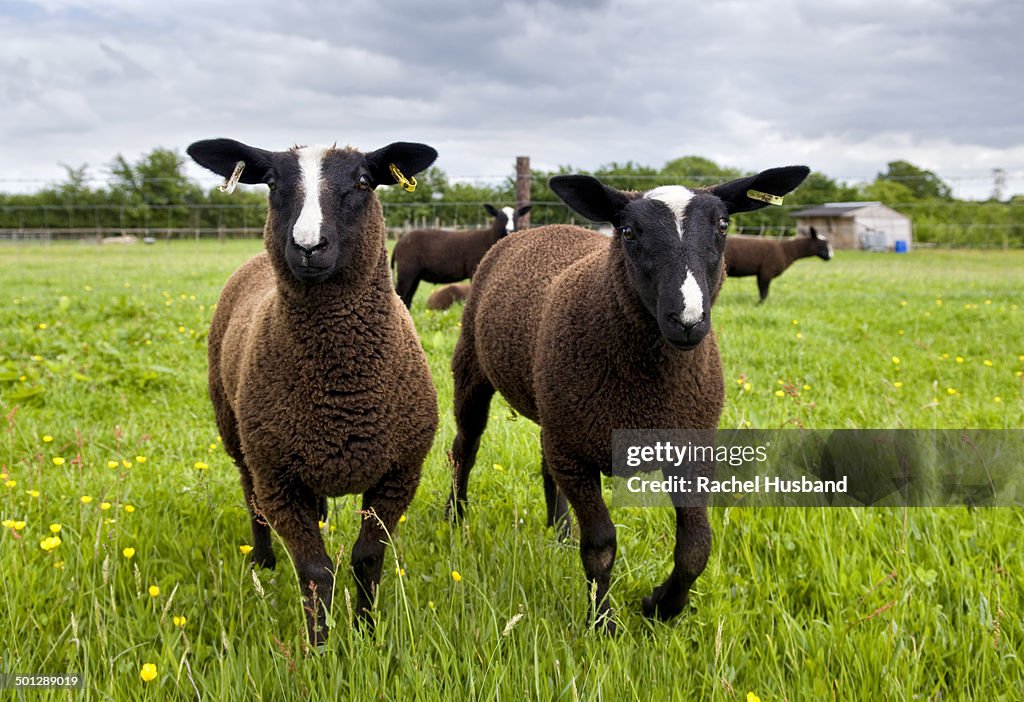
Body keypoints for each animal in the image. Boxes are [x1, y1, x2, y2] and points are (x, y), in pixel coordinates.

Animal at [188, 137, 440, 650]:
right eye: (270, 182)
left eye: (363, 182)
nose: (307, 246)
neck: (341, 394)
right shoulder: (278, 478)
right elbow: (314, 571)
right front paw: (320, 649)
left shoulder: (400, 474)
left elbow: (367, 559)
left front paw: (366, 634)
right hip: (238, 435)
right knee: (250, 497)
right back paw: (263, 560)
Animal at [391, 200, 532, 304]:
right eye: (500, 217)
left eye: (517, 217)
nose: (510, 230)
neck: (489, 238)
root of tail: (399, 243)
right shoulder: (473, 269)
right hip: (406, 270)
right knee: (401, 294)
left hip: (415, 275)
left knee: (407, 299)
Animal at [446, 164, 806, 634]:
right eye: (629, 231)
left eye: (724, 225)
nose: (687, 319)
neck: (648, 388)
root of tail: (540, 229)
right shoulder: (577, 454)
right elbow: (601, 545)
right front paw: (602, 624)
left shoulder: (689, 445)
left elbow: (697, 546)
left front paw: (661, 607)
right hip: (476, 369)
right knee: (465, 447)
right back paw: (455, 518)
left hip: (556, 410)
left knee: (544, 462)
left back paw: (559, 531)